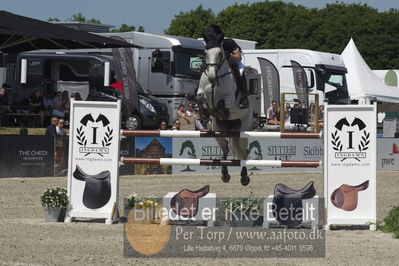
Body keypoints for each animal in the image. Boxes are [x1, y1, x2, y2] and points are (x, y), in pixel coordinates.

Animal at [196, 37, 253, 187]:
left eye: (220, 54)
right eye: (205, 53)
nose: (211, 76)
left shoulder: (229, 98)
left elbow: (222, 103)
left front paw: (220, 112)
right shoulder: (201, 93)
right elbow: (200, 98)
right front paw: (204, 112)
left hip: (242, 130)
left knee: (243, 153)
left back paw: (244, 178)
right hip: (218, 130)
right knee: (225, 149)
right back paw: (225, 174)